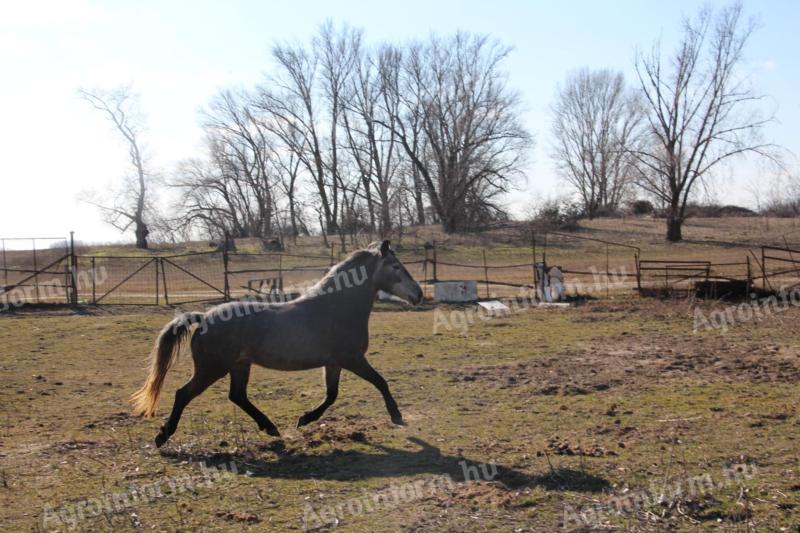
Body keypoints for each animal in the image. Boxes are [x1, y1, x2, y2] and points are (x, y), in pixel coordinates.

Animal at [131, 240, 424, 444]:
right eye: (396, 267)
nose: (418, 294)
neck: (336, 307)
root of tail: (203, 318)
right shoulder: (352, 359)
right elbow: (380, 382)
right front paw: (397, 416)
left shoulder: (334, 363)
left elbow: (331, 395)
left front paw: (304, 419)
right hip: (212, 369)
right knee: (184, 394)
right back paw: (162, 436)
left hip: (240, 366)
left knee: (237, 396)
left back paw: (270, 427)